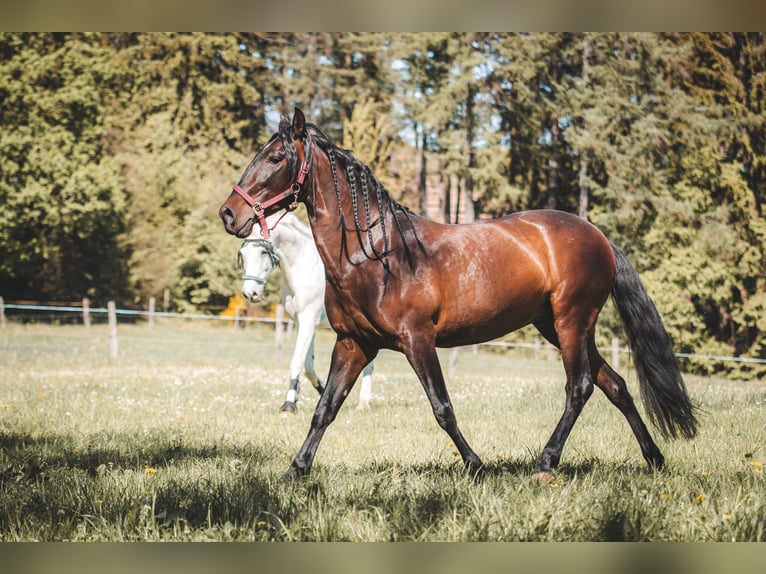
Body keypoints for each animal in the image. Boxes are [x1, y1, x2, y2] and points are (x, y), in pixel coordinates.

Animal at [237, 212, 376, 414]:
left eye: (263, 252)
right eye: (243, 254)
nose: (250, 293)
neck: (303, 268)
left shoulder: (308, 320)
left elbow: (297, 360)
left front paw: (288, 404)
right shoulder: (302, 323)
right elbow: (308, 365)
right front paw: (319, 391)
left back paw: (363, 403)